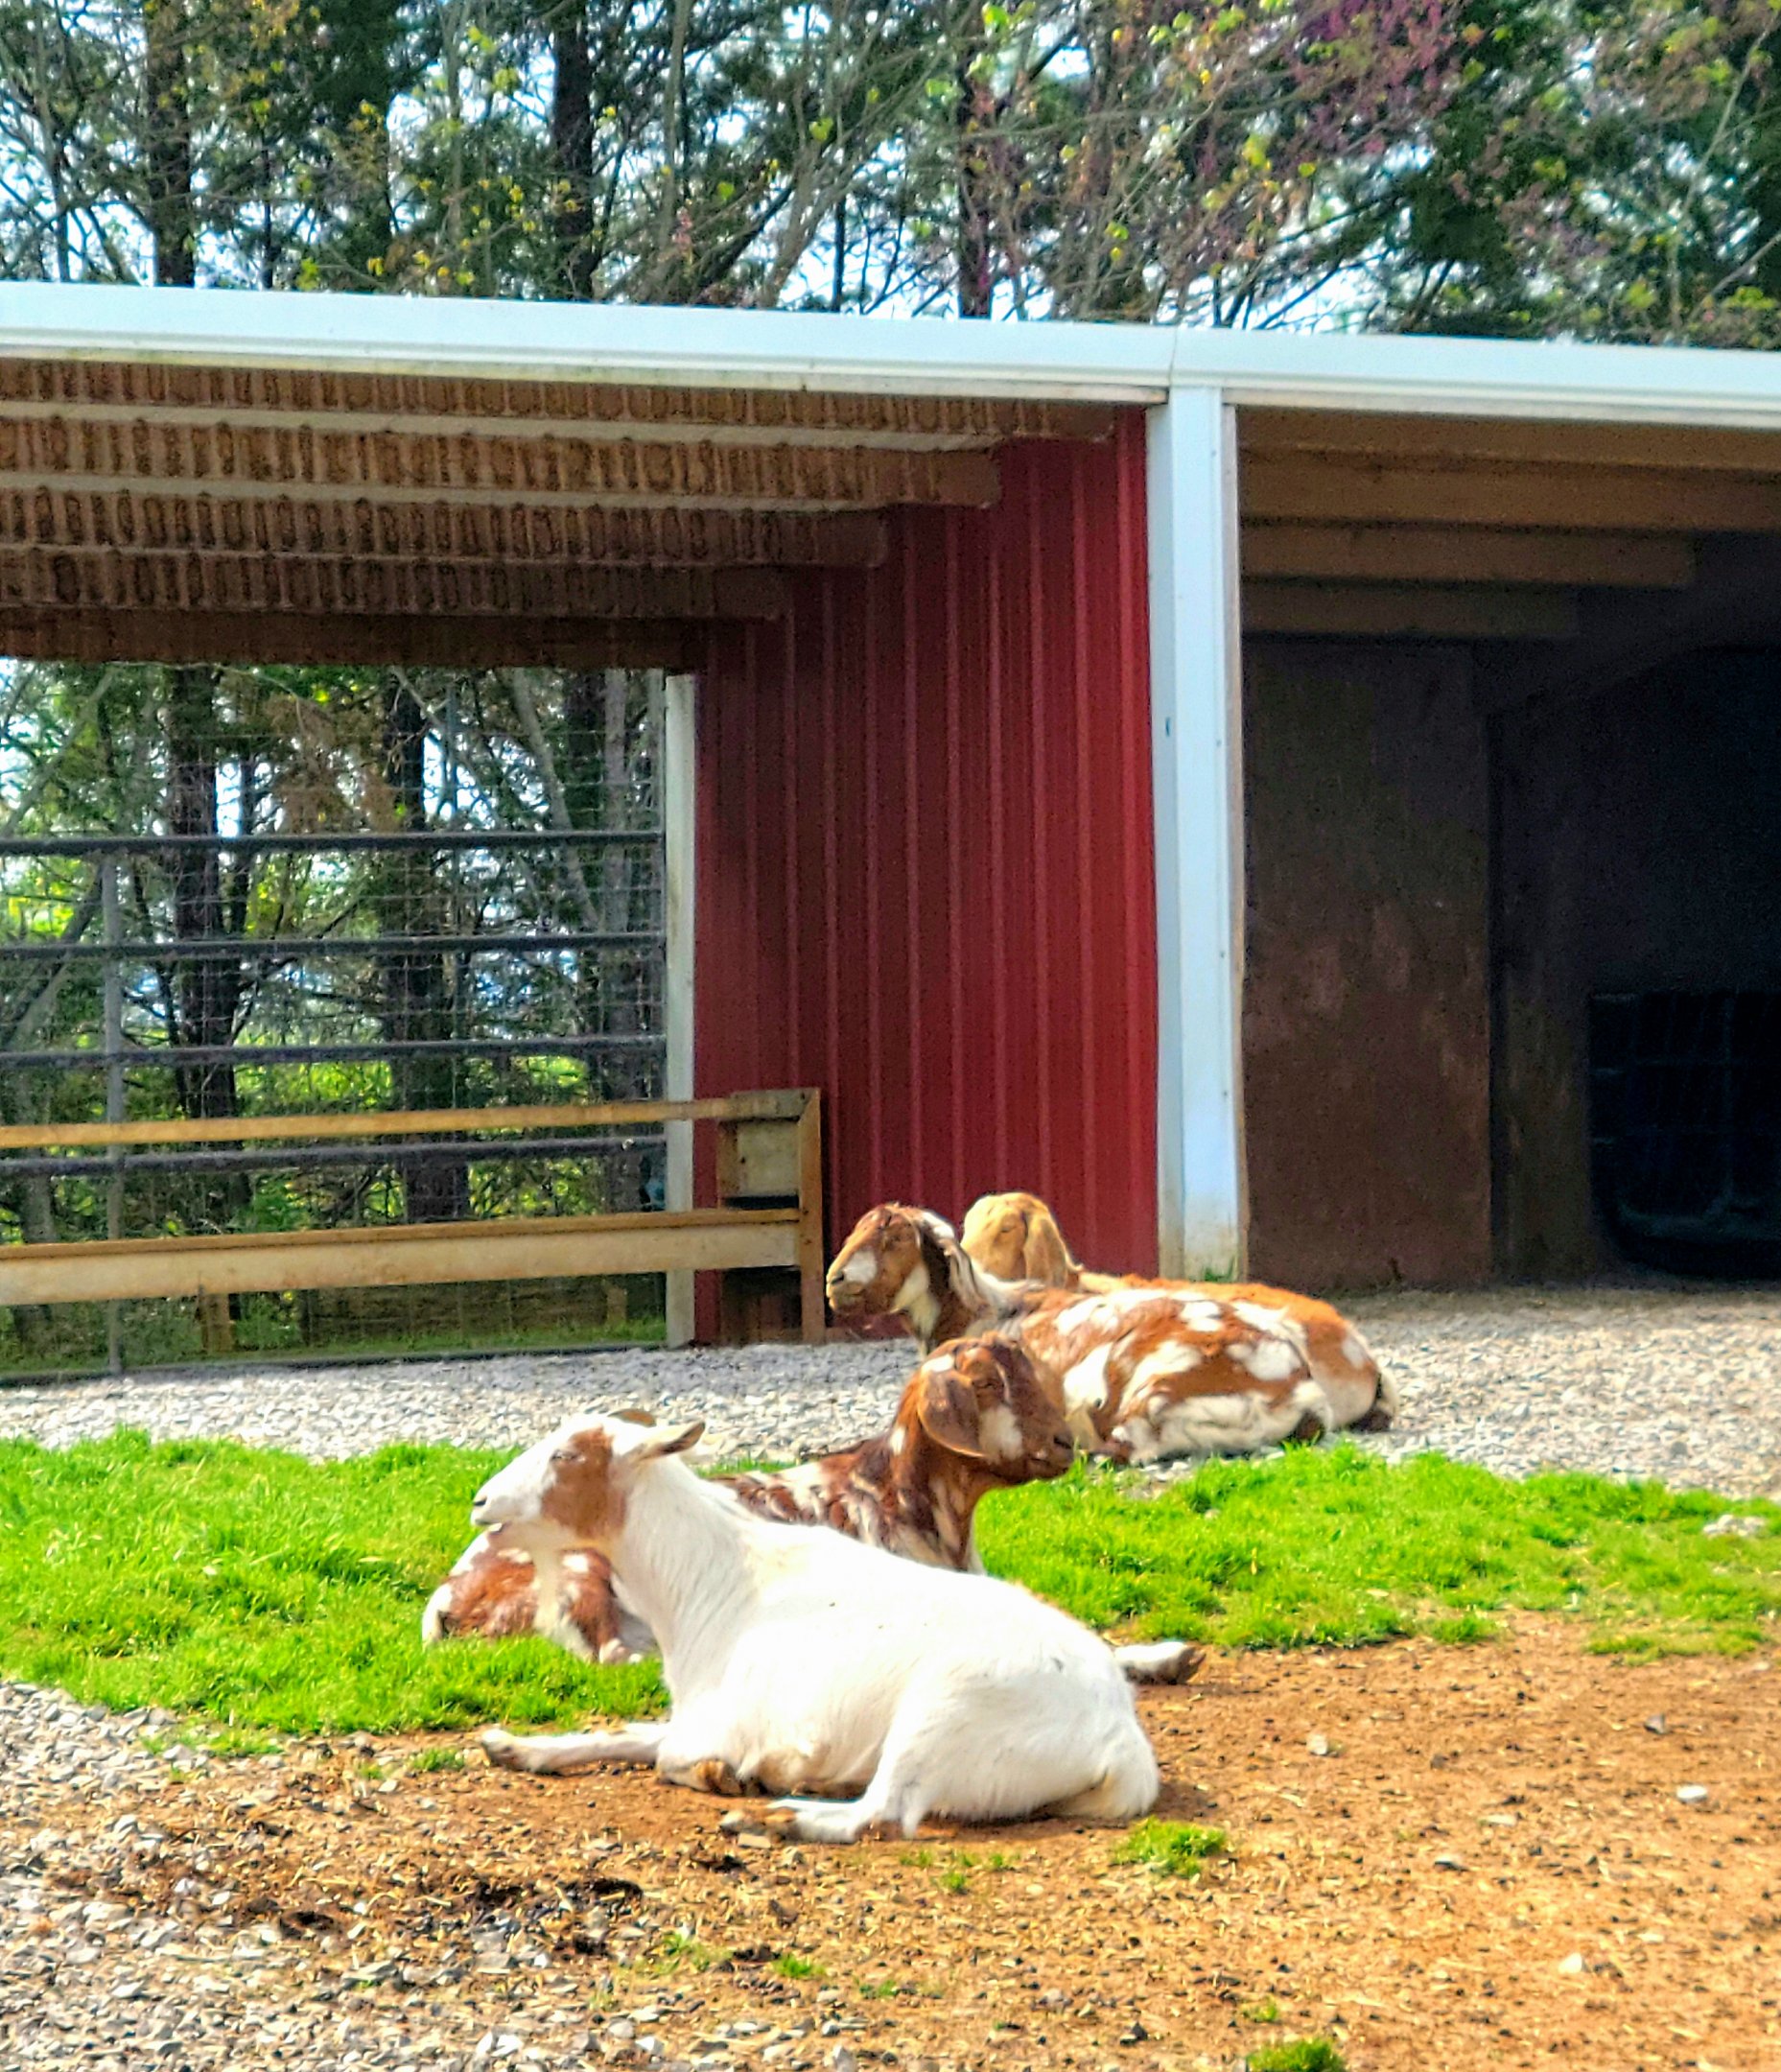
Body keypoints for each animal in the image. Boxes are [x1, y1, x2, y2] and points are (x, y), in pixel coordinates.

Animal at [424, 1337, 1201, 1684]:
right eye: (983, 1385)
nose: (1065, 1444)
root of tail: (450, 1597)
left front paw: (1167, 1655)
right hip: (585, 1568)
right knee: (612, 1653)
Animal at [472, 1411, 1162, 1843]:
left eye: (566, 1455)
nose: (480, 1502)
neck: (713, 1579)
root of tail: (1120, 1738)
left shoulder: (729, 1723)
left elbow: (670, 1755)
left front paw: (736, 1777)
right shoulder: (699, 1714)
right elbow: (629, 1734)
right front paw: (513, 1746)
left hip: (943, 1713)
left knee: (881, 1815)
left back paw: (776, 1817)